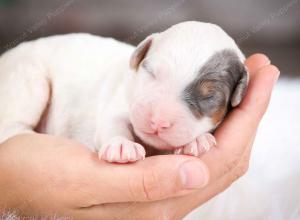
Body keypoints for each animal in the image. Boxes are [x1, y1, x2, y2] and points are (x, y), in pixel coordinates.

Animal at [0, 21, 248, 163]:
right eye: (150, 71)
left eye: (209, 96)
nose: (158, 121)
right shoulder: (119, 103)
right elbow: (113, 124)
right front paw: (121, 146)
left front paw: (196, 141)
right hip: (26, 77)